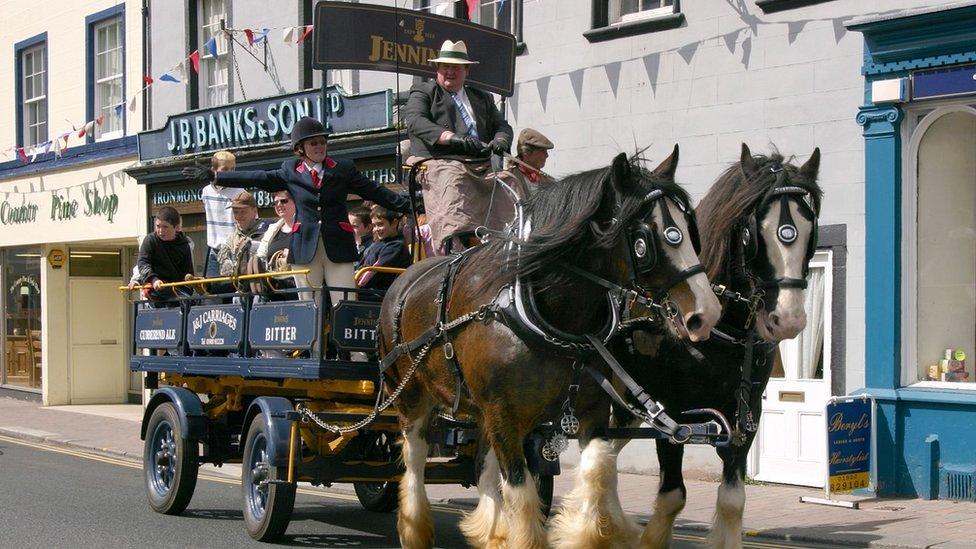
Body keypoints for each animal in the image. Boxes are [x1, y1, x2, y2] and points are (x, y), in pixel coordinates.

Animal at [378, 149, 720, 548]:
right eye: (644, 240)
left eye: (689, 230)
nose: (706, 313)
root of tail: (404, 278)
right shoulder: (504, 416)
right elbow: (521, 493)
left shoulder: (589, 411)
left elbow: (597, 471)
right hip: (411, 396)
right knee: (414, 458)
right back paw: (415, 527)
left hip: (480, 411)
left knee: (482, 464)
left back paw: (492, 531)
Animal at [616, 142, 824, 548]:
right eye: (753, 233)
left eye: (810, 230)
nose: (788, 319)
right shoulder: (671, 413)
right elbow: (672, 496)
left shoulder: (745, 415)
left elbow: (732, 499)